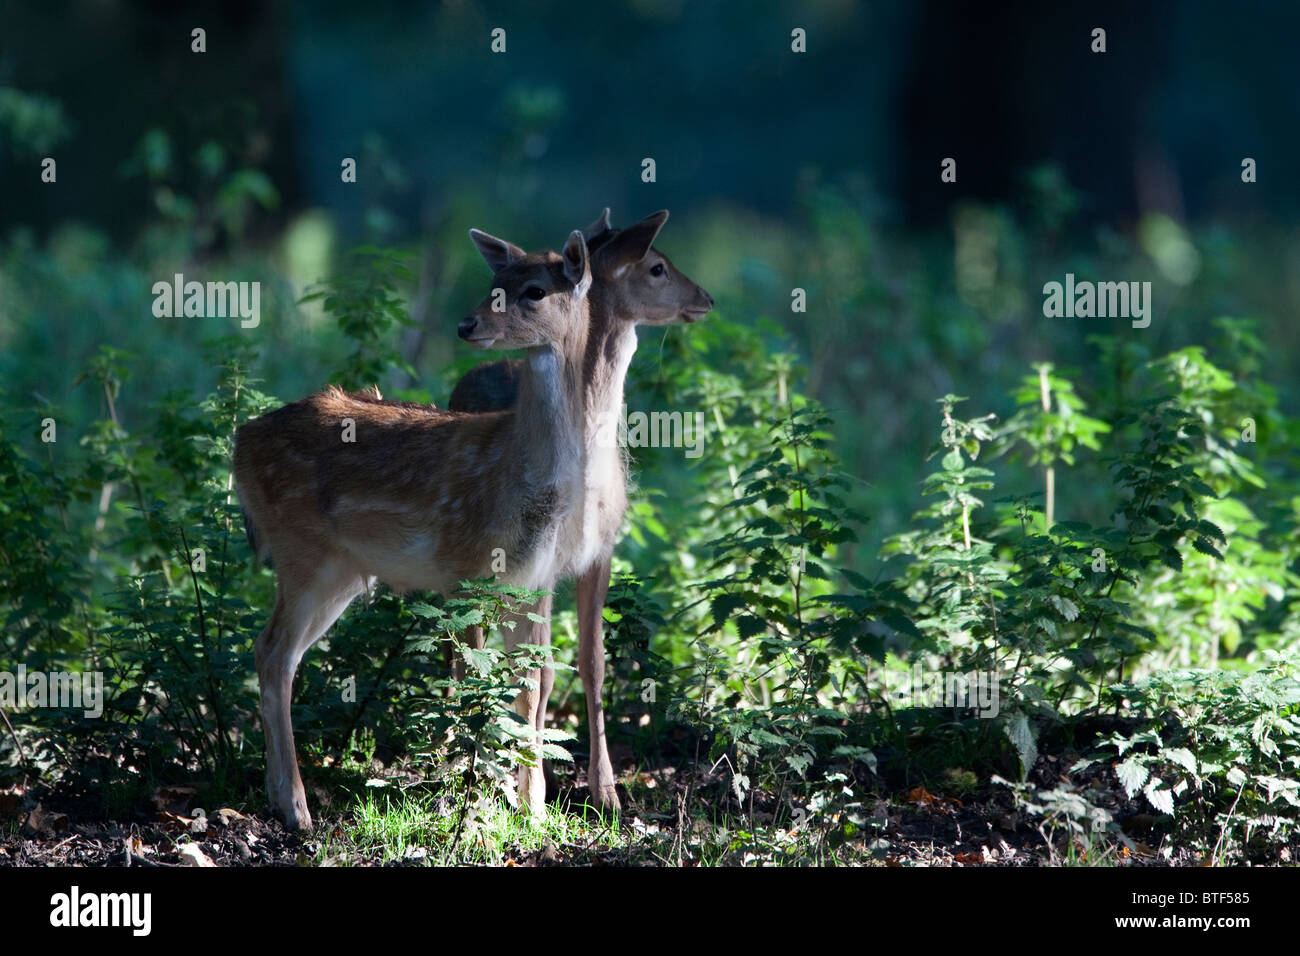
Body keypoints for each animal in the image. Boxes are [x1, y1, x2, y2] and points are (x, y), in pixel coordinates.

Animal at [233, 226, 595, 832]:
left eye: (535, 291)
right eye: (494, 284)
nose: (467, 325)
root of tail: (239, 442)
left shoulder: (535, 581)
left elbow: (532, 680)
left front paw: (534, 810)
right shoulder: (473, 571)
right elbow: (476, 676)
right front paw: (481, 804)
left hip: (343, 571)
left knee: (279, 652)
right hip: (305, 555)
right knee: (273, 651)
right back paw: (296, 807)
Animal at [444, 208, 712, 806]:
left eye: (532, 289)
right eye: (657, 265)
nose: (706, 297)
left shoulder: (603, 550)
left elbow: (592, 663)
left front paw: (605, 789)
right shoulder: (535, 562)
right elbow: (539, 674)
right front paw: (532, 787)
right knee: (463, 639)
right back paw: (457, 751)